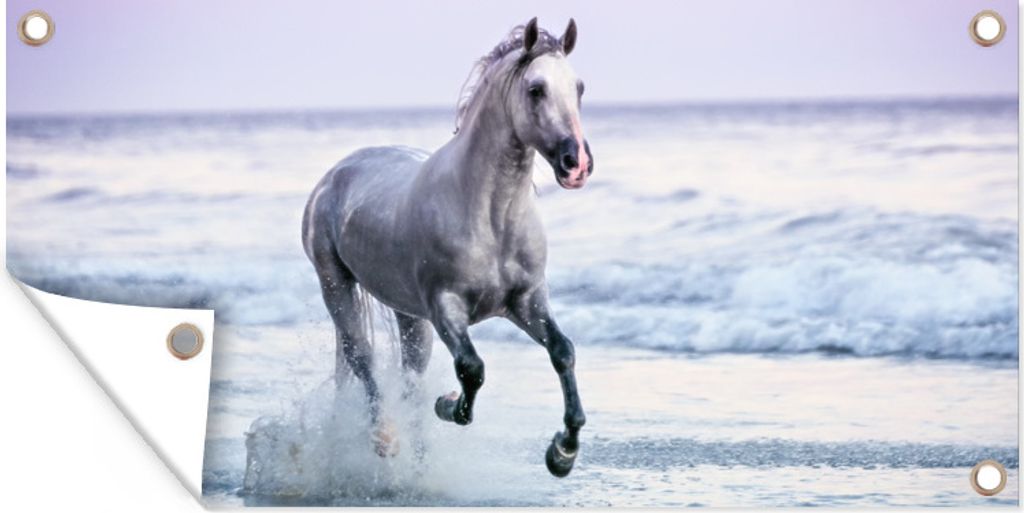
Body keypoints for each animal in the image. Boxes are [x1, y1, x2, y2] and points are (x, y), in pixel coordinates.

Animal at [301, 17, 592, 477]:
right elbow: (471, 370)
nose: (576, 164)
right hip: (336, 286)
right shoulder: (445, 308)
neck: (491, 217)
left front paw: (562, 453)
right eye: (536, 89)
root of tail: (335, 174)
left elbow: (563, 352)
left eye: (578, 87)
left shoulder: (526, 301)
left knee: (410, 377)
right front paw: (449, 404)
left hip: (408, 315)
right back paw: (384, 438)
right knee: (362, 359)